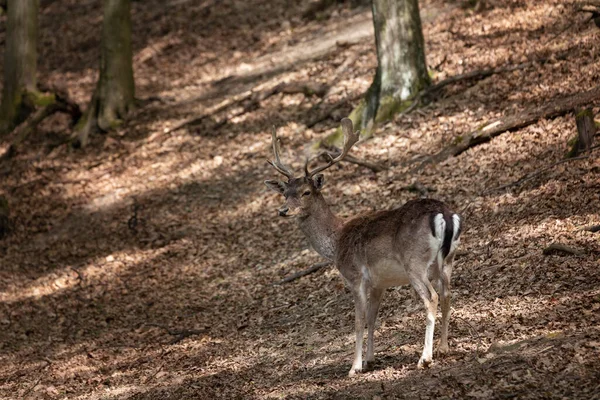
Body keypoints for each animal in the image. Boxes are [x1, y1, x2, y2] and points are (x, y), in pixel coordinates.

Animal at [264, 118, 462, 376]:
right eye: (285, 194)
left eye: (306, 192)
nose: (283, 210)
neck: (336, 241)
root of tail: (445, 215)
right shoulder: (379, 283)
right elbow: (372, 317)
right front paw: (369, 360)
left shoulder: (355, 276)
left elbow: (358, 320)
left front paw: (354, 367)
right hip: (447, 261)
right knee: (448, 294)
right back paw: (444, 348)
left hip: (415, 263)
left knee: (432, 298)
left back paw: (425, 358)